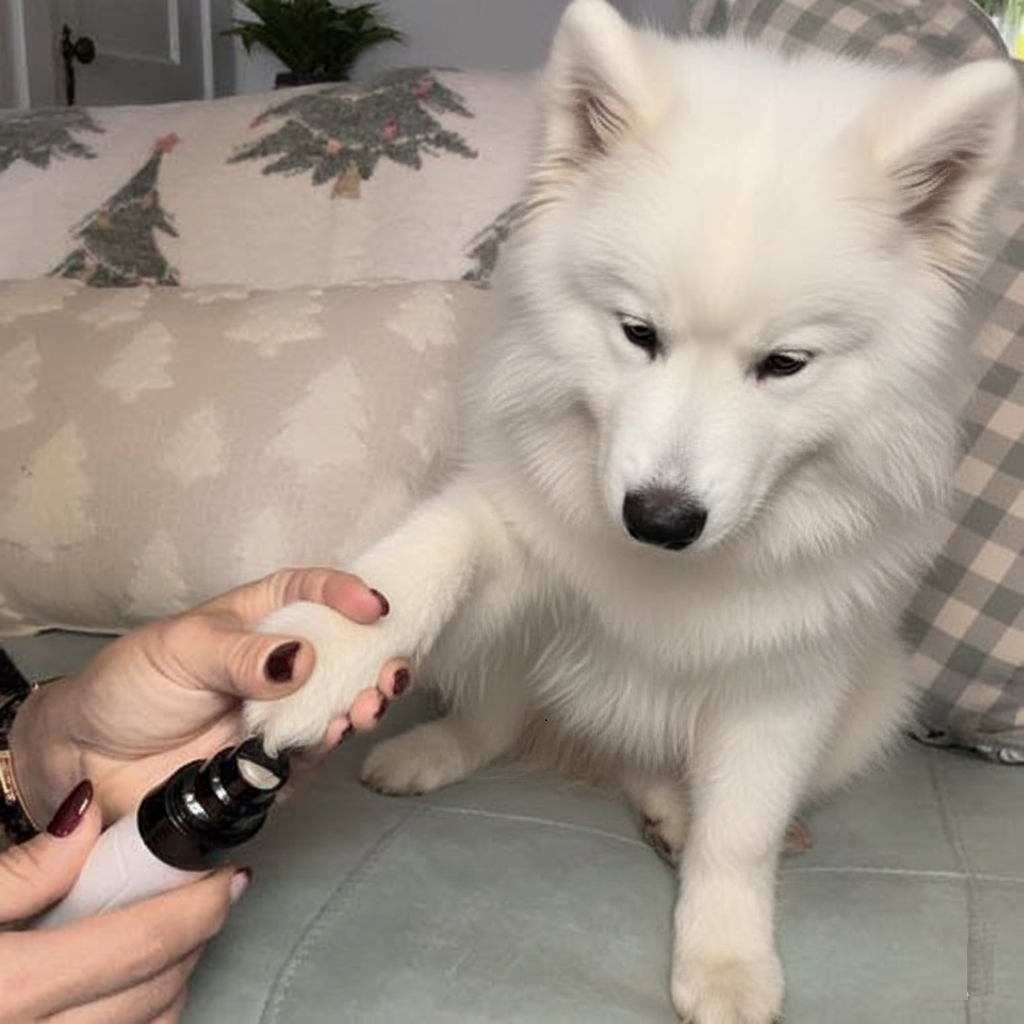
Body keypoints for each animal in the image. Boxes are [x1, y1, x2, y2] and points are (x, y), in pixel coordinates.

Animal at [248, 2, 1019, 1020]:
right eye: (638, 333)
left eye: (785, 364)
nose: (657, 519)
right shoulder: (520, 537)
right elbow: (431, 553)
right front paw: (326, 653)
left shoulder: (783, 685)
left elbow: (739, 839)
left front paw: (726, 959)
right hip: (511, 655)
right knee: (495, 719)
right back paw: (435, 753)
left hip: (875, 696)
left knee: (663, 768)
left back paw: (673, 812)